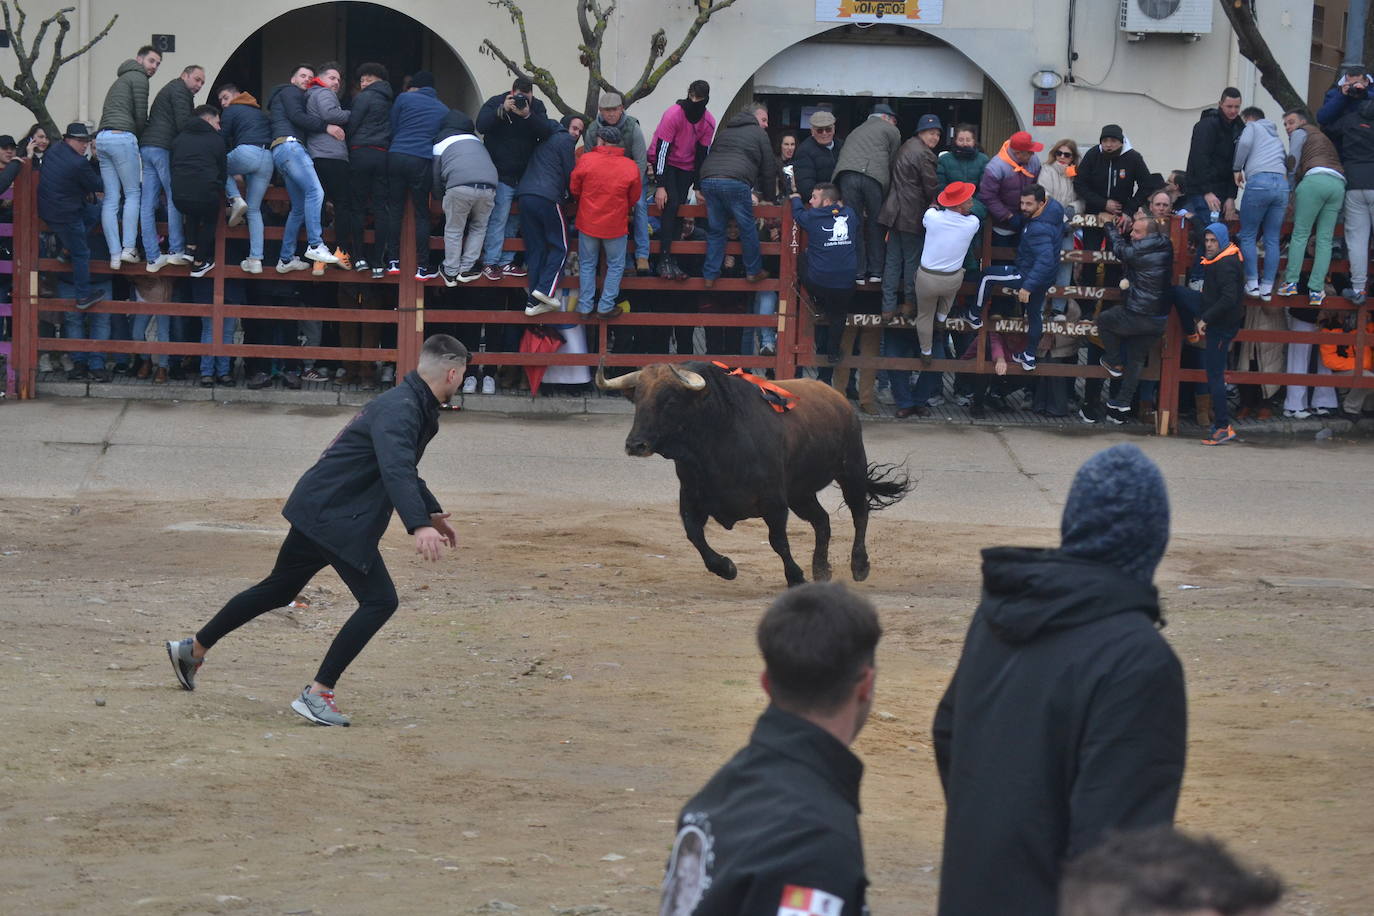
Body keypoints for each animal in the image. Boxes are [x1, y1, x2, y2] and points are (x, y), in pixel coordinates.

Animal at [593, 359, 906, 587]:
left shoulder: (773, 502)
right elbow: (695, 536)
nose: (635, 444)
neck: (718, 437)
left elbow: (778, 541)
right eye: (637, 399)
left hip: (851, 469)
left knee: (859, 514)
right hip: (800, 492)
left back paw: (859, 566)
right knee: (822, 521)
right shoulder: (691, 497)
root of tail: (837, 398)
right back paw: (820, 569)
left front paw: (795, 577)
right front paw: (726, 567)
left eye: (669, 400)